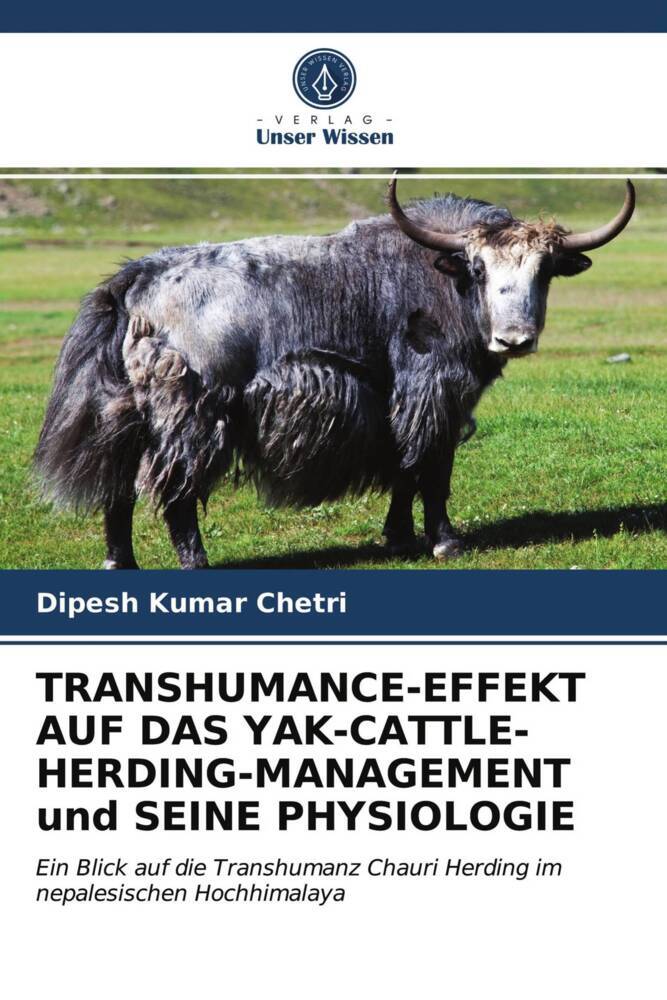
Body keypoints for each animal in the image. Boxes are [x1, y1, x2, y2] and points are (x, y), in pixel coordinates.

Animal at [34, 177, 635, 568]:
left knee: (119, 485)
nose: (514, 339)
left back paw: (121, 564)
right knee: (174, 485)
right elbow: (433, 466)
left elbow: (403, 466)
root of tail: (132, 280)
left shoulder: (393, 399)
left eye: (545, 271)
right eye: (480, 268)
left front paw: (397, 538)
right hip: (194, 409)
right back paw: (196, 561)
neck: (446, 281)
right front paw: (445, 541)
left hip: (126, 413)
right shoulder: (434, 390)